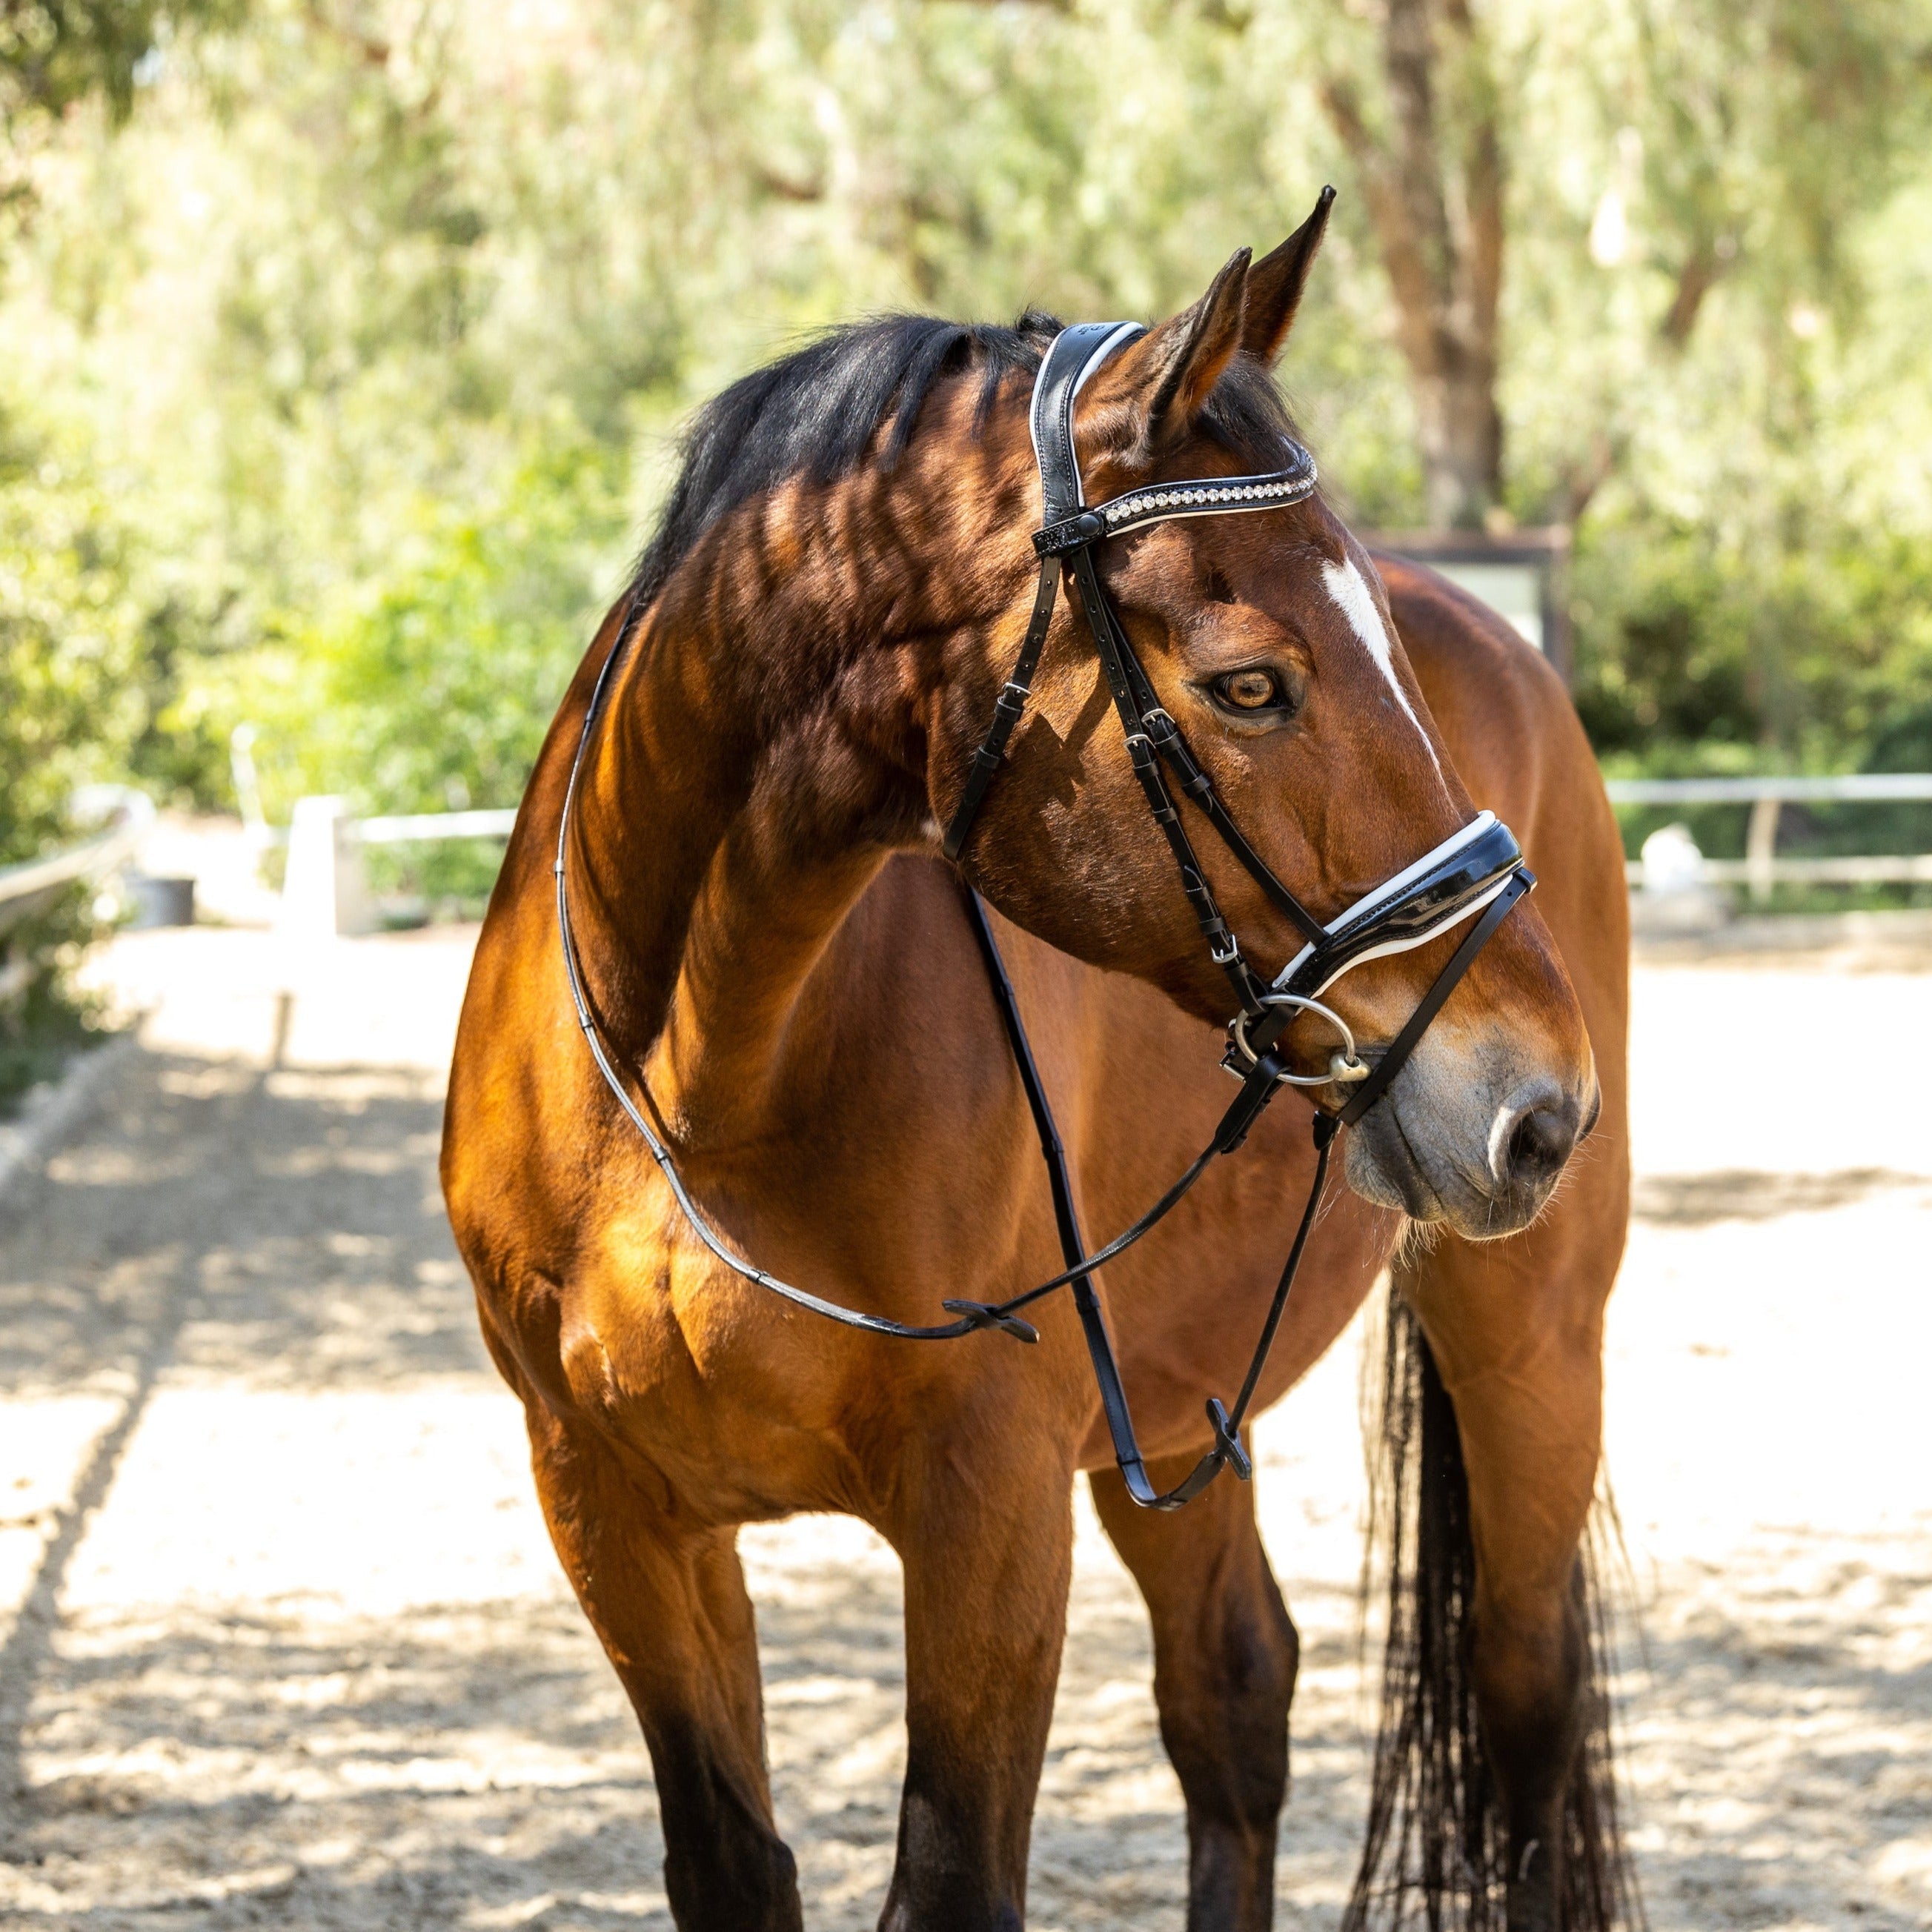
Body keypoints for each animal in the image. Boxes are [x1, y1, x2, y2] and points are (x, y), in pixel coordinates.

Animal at [442, 192, 1630, 1932]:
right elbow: (730, 1862)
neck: (692, 1089)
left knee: (1525, 1710)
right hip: (1182, 1401)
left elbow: (950, 1878)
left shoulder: (986, 1515)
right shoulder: (610, 1509)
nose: (1540, 1105)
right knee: (1233, 1697)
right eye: (1249, 682)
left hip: (1525, 1333)